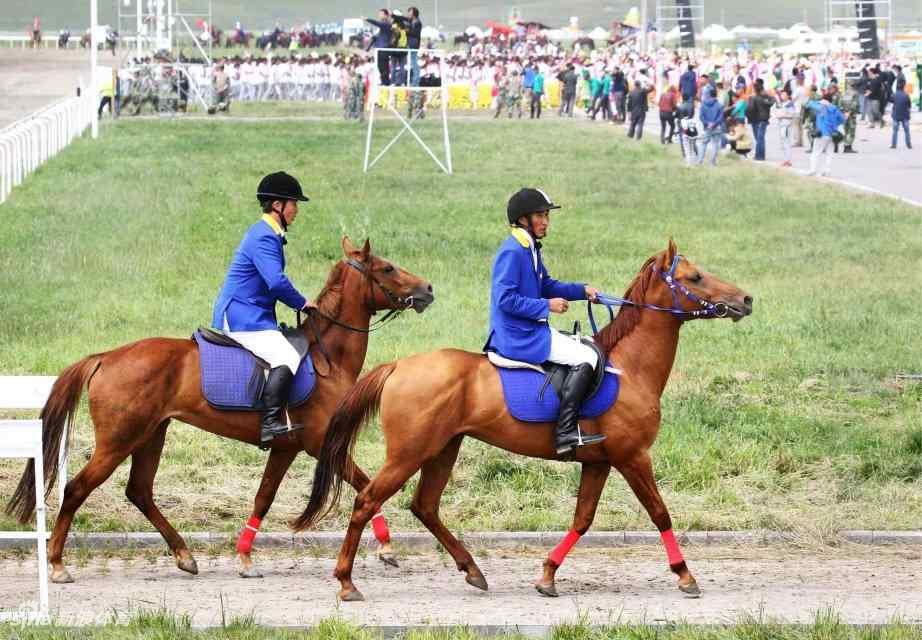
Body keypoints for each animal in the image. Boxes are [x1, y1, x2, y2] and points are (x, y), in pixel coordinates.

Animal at [6, 238, 432, 584]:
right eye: (387, 268)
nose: (427, 289)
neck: (326, 358)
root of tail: (106, 356)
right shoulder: (319, 444)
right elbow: (365, 484)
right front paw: (387, 548)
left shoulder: (286, 447)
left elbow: (263, 497)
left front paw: (245, 559)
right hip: (118, 441)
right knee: (78, 488)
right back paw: (58, 565)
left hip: (151, 435)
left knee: (139, 491)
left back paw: (184, 556)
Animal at [294, 240, 748, 600]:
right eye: (696, 277)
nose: (746, 300)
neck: (630, 368)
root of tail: (398, 366)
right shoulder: (633, 457)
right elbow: (660, 513)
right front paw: (685, 575)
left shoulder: (599, 462)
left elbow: (582, 520)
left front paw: (548, 575)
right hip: (410, 452)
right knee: (367, 501)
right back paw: (347, 582)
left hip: (443, 449)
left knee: (425, 506)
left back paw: (473, 571)